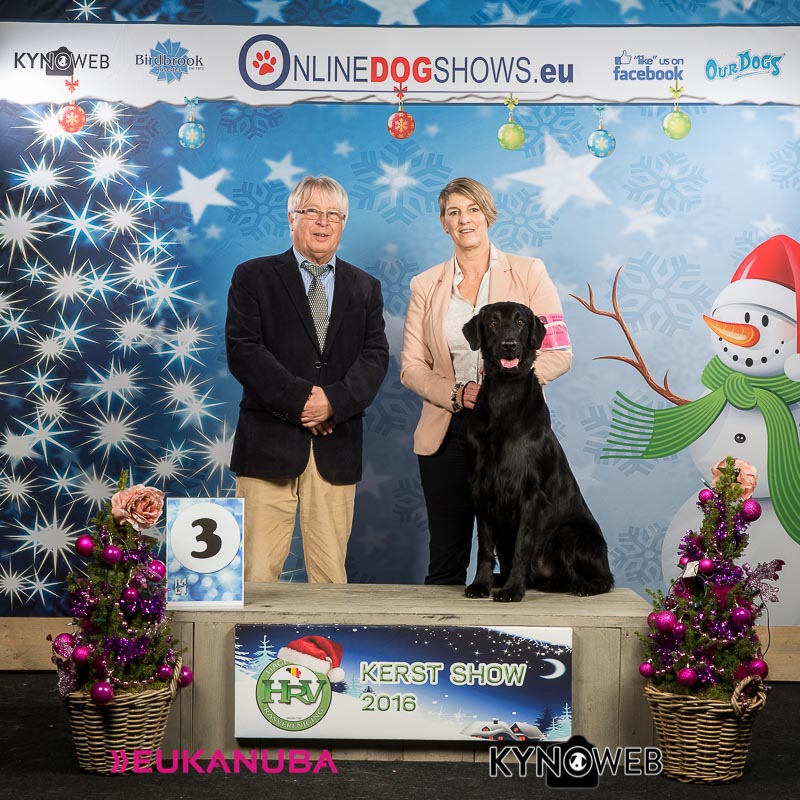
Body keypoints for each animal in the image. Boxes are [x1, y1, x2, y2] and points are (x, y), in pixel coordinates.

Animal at [461, 301, 614, 602]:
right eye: (493, 323)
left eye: (520, 322)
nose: (509, 345)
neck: (505, 396)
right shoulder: (480, 488)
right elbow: (484, 546)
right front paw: (481, 584)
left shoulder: (530, 492)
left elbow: (523, 545)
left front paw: (512, 590)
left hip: (570, 534)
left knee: (604, 579)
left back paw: (584, 586)